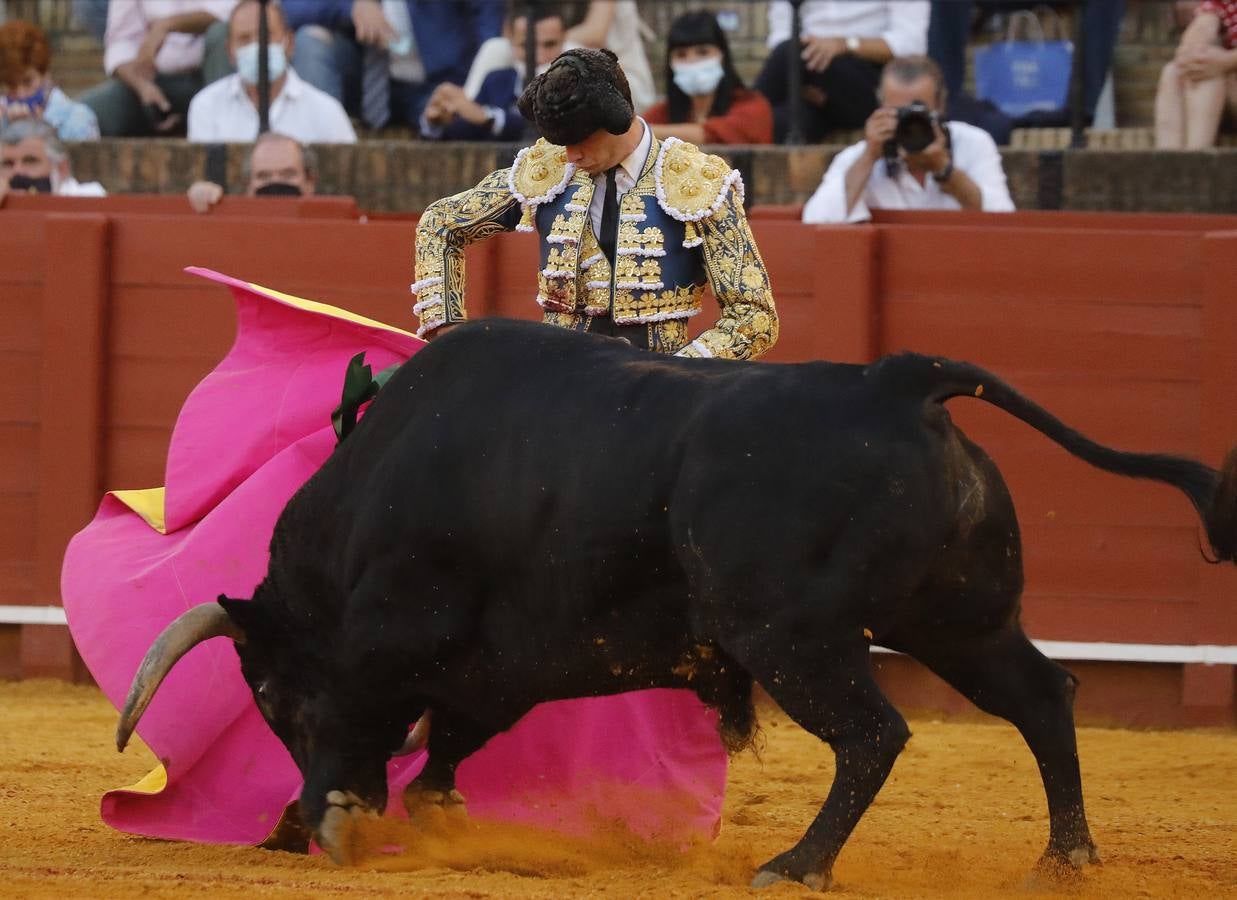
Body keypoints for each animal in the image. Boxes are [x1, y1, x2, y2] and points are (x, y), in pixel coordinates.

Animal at [116, 318, 1237, 890]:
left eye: (275, 700)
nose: (296, 821)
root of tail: (895, 379)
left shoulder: (400, 637)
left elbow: (382, 717)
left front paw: (340, 819)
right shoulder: (496, 669)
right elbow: (448, 746)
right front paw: (423, 816)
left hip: (793, 635)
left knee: (873, 734)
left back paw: (795, 865)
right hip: (958, 620)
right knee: (1043, 695)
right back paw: (1065, 856)